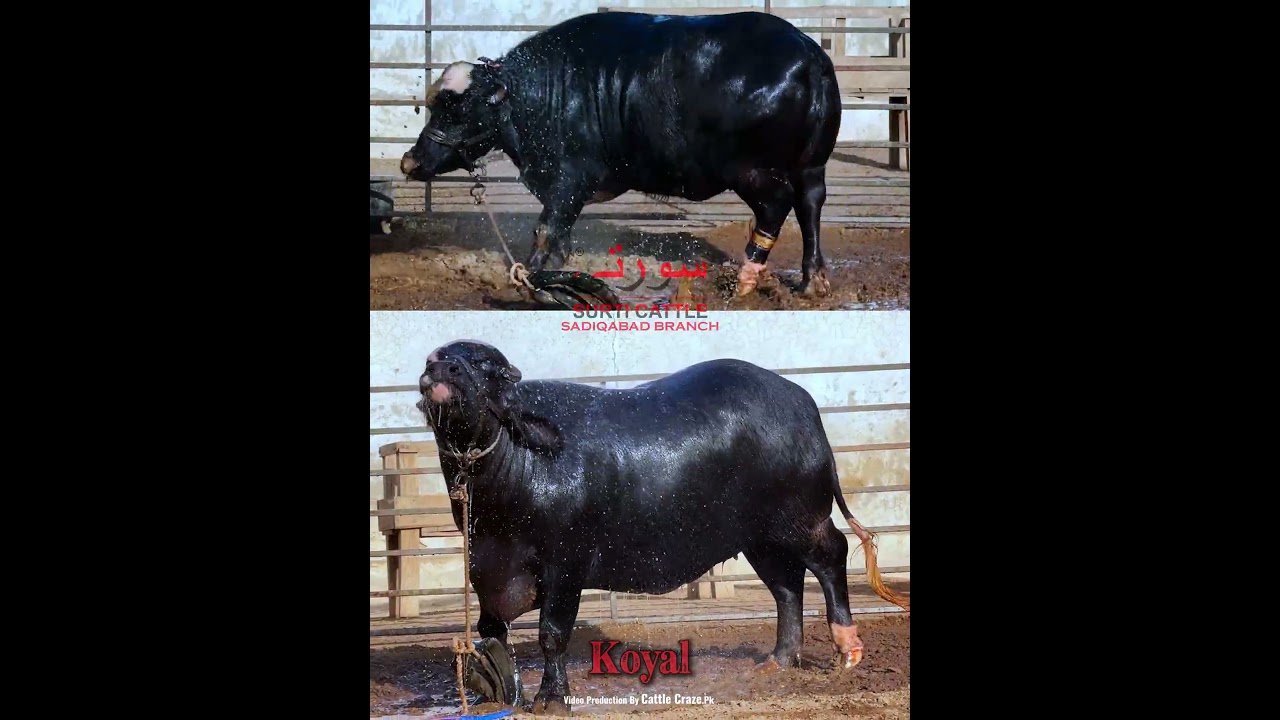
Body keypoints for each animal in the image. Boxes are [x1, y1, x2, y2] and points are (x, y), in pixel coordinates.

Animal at [399, 11, 843, 299]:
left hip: (752, 171)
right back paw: (813, 281)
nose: (410, 161)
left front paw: (532, 276)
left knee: (776, 206)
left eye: (458, 110)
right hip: (811, 166)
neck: (541, 92)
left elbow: (546, 229)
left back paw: (747, 280)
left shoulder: (568, 180)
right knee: (810, 204)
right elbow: (561, 235)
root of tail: (809, 55)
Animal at [418, 340, 909, 715]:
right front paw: (498, 693)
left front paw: (552, 700)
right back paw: (779, 660)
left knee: (830, 556)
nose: (442, 368)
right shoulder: (483, 566)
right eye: (436, 356)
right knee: (786, 587)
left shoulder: (566, 564)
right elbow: (491, 633)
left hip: (802, 519)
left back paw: (847, 649)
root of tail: (802, 403)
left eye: (486, 365)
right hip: (760, 538)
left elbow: (551, 634)